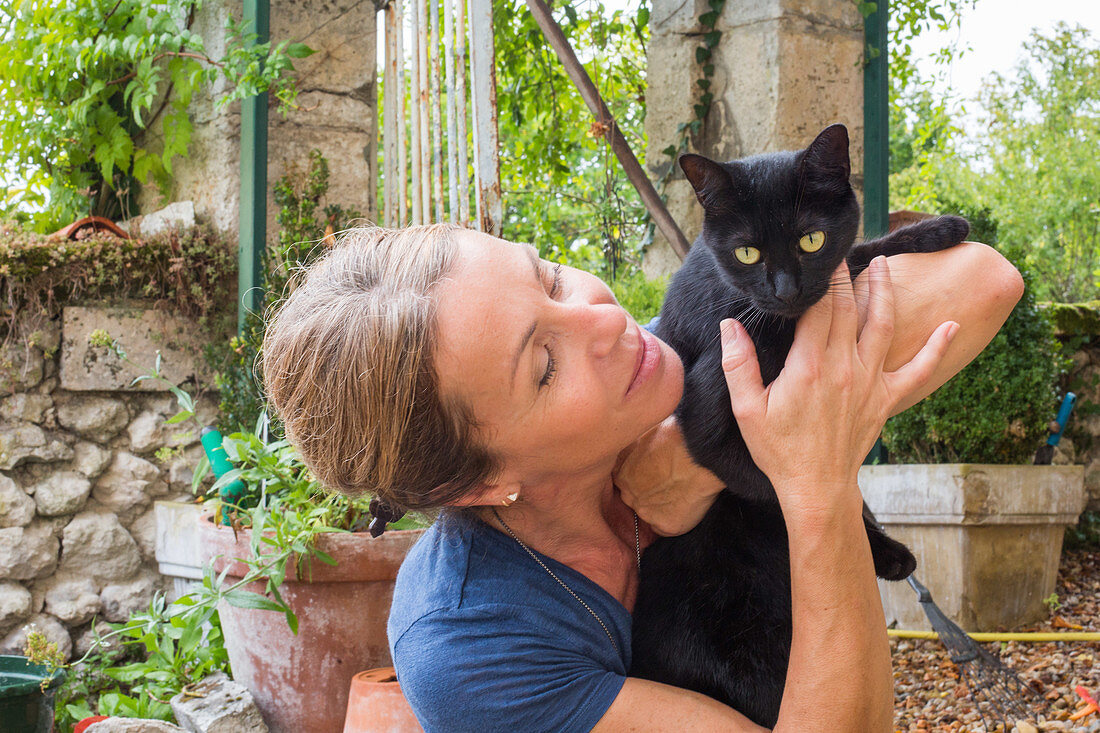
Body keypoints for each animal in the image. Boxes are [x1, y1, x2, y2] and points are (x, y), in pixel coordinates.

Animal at [633, 125, 968, 726]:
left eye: (811, 240)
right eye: (747, 252)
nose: (786, 291)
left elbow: (857, 256)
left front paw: (936, 230)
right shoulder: (709, 416)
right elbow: (781, 489)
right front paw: (880, 548)